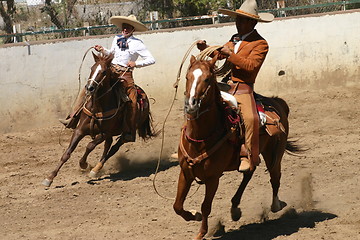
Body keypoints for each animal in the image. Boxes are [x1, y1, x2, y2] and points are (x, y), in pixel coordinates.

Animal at [42, 52, 155, 188]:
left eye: (104, 71)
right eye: (92, 68)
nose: (89, 88)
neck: (98, 106)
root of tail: (145, 97)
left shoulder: (105, 133)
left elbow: (90, 146)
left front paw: (84, 164)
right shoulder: (79, 130)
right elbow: (67, 153)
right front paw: (49, 178)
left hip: (125, 134)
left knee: (113, 149)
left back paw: (95, 169)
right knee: (108, 145)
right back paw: (96, 169)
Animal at [173, 55, 294, 239]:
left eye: (207, 79)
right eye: (187, 77)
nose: (191, 105)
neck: (200, 138)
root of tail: (277, 102)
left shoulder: (213, 177)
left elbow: (206, 206)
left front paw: (201, 232)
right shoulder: (185, 171)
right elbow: (178, 206)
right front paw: (194, 215)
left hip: (274, 153)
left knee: (275, 177)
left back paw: (275, 205)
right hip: (254, 153)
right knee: (249, 172)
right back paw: (235, 208)